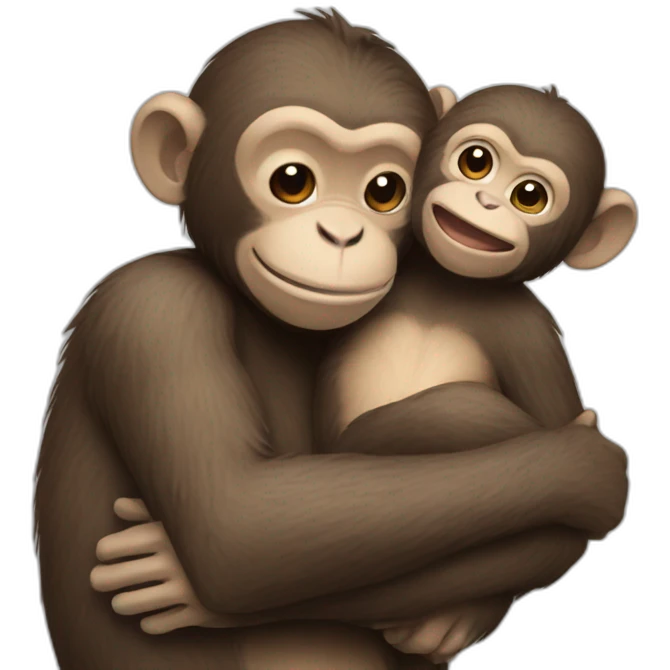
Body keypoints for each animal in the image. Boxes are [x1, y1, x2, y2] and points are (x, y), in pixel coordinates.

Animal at [84, 83, 630, 667]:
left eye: (530, 195)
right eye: (476, 161)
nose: (486, 201)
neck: (449, 284)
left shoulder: (532, 335)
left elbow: (552, 527)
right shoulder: (157, 309)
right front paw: (576, 461)